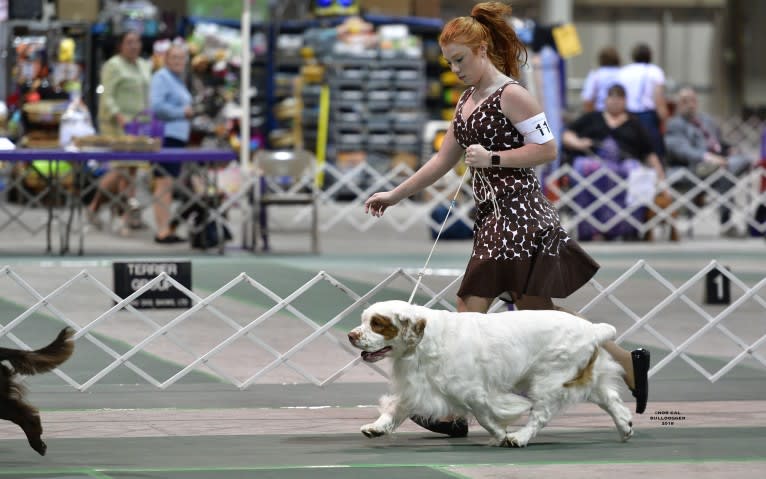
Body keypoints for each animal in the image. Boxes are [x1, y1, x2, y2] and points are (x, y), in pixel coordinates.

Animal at [350, 302, 636, 448]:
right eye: (363, 321)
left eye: (377, 323)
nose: (351, 335)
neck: (425, 342)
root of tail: (592, 329)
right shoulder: (417, 386)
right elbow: (396, 408)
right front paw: (376, 428)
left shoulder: (473, 391)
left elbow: (485, 416)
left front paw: (500, 434)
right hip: (583, 378)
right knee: (611, 399)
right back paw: (625, 427)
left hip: (550, 380)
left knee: (541, 414)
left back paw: (519, 438)